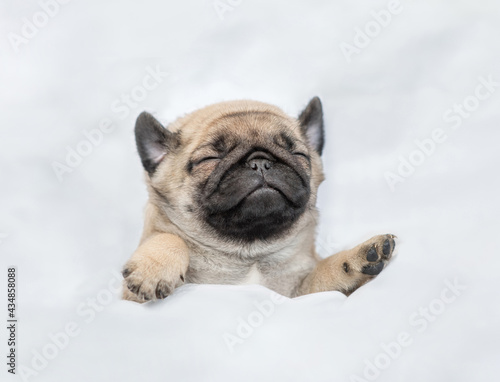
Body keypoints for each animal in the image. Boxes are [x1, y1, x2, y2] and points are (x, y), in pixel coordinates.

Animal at [121, 97, 394, 302]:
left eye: (298, 154)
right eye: (209, 160)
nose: (260, 162)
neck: (249, 253)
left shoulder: (299, 293)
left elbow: (324, 274)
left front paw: (355, 259)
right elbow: (168, 237)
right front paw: (155, 268)